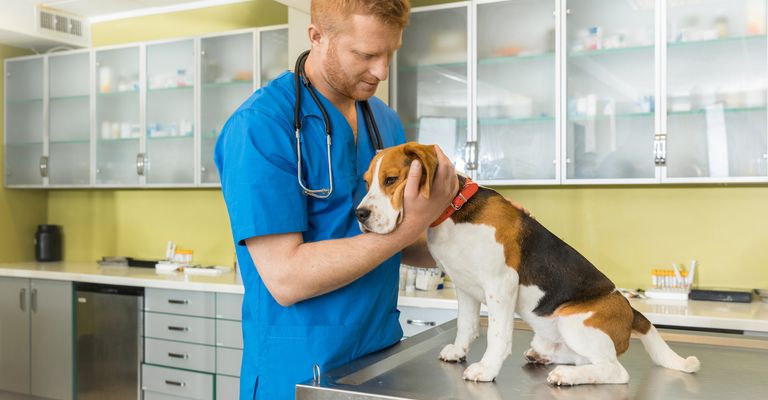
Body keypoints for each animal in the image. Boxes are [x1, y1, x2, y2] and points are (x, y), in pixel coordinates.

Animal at [356, 143, 700, 384]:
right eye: (366, 182)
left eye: (391, 180)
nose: (359, 214)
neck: (455, 212)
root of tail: (632, 312)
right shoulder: (464, 287)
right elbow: (466, 325)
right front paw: (459, 351)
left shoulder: (500, 285)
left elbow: (497, 335)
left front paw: (487, 369)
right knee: (591, 360)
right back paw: (547, 358)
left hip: (574, 320)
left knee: (615, 371)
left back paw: (567, 377)